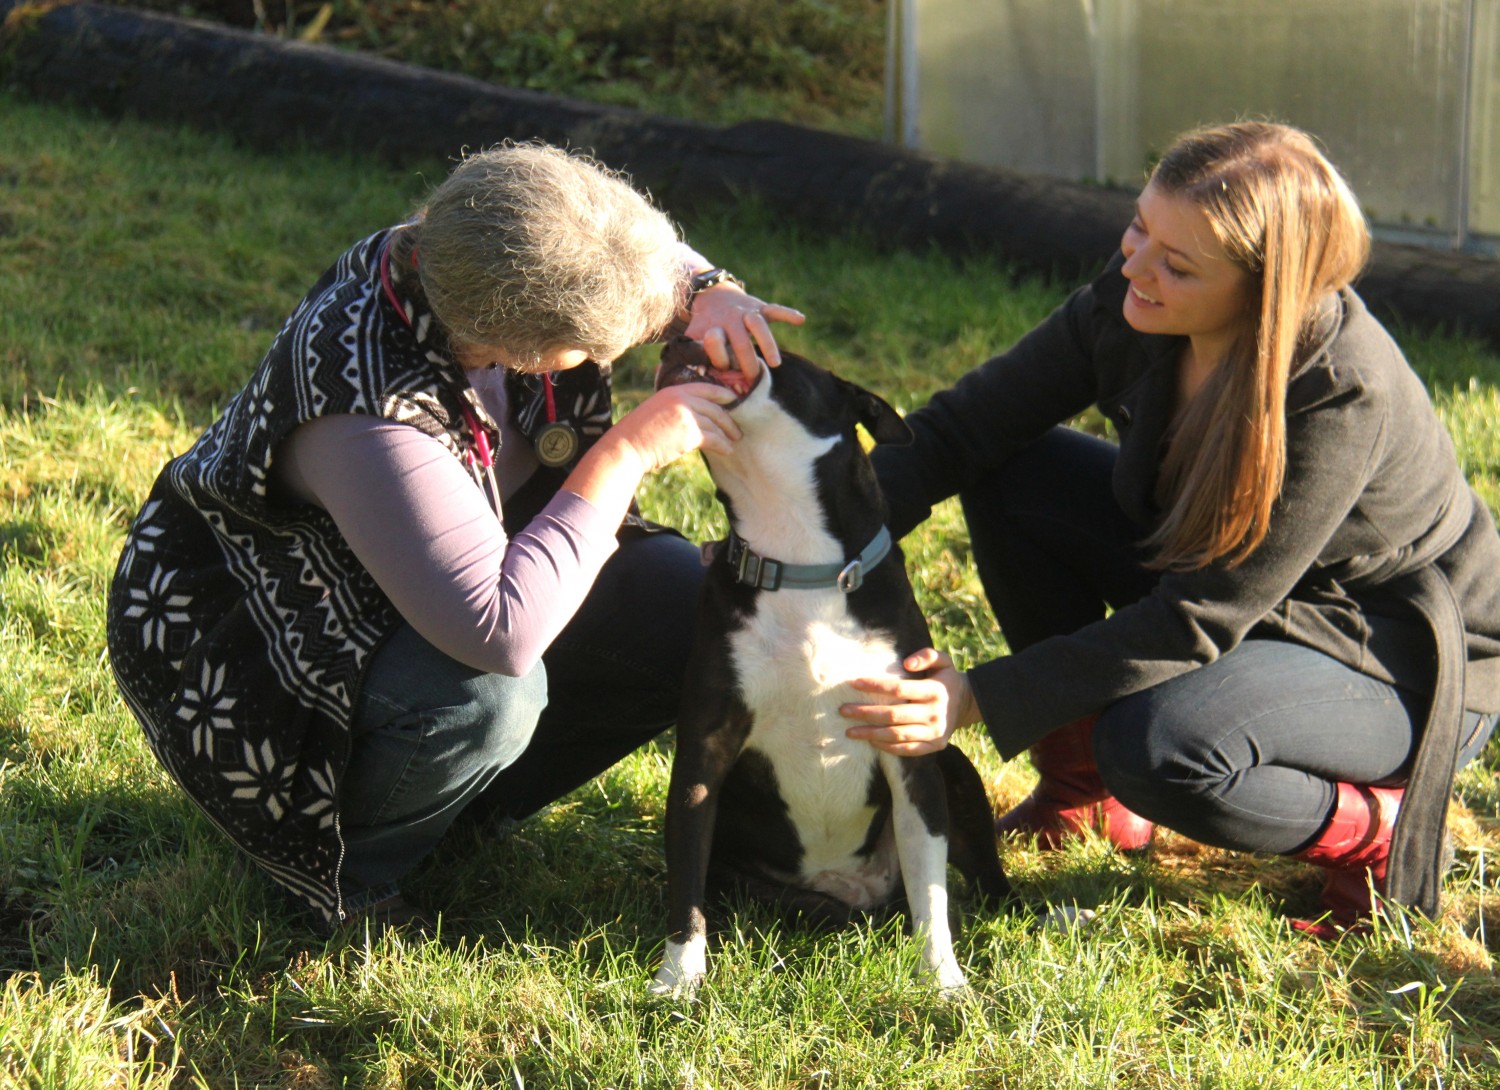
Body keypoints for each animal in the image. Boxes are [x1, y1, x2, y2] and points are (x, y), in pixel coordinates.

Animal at [648, 338, 1008, 995]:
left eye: (772, 344)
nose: (679, 334)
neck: (798, 565)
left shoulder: (909, 750)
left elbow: (931, 888)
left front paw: (944, 982)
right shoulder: (702, 755)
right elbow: (686, 878)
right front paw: (679, 978)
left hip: (956, 768)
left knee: (984, 883)